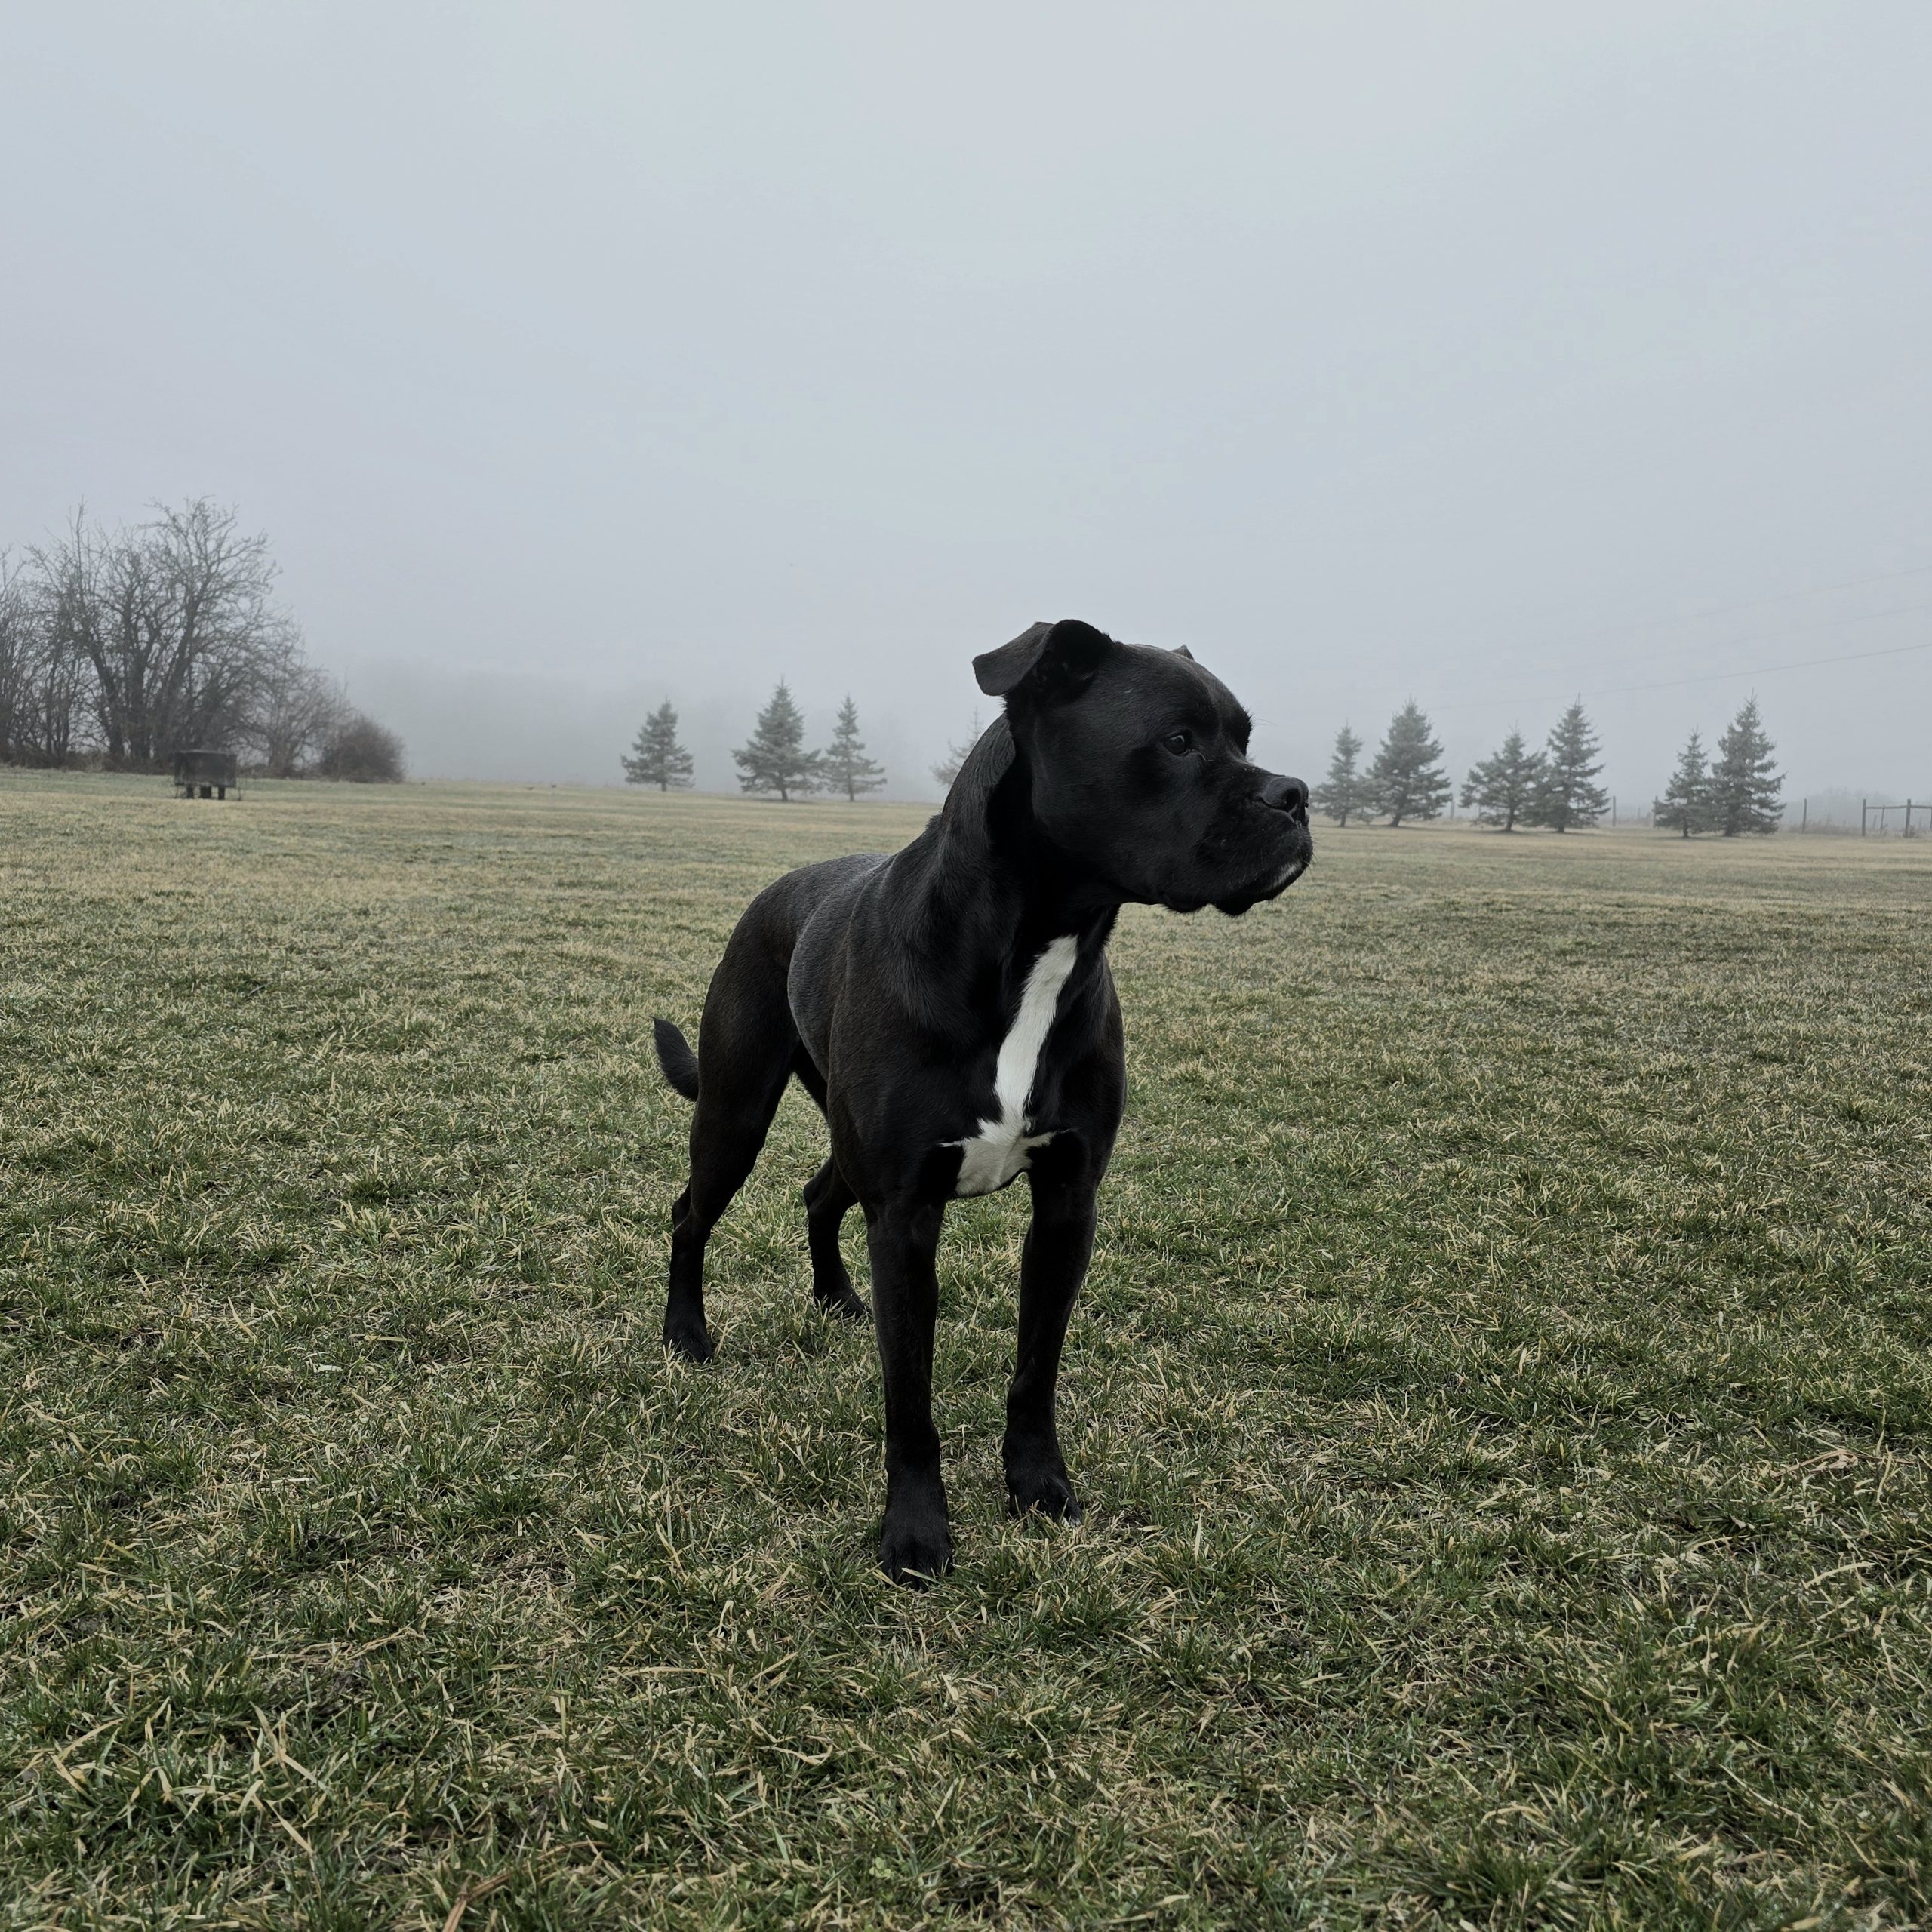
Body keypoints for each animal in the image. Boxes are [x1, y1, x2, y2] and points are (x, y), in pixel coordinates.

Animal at [652, 619, 1311, 1581]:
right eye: (1179, 739)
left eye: (1245, 736)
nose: (1296, 796)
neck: (1037, 945)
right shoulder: (905, 1212)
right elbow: (909, 1397)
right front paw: (916, 1531)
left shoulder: (1066, 1201)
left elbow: (1035, 1368)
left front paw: (1038, 1487)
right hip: (735, 1111)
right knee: (690, 1214)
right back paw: (687, 1334)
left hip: (838, 1139)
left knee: (817, 1193)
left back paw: (835, 1298)